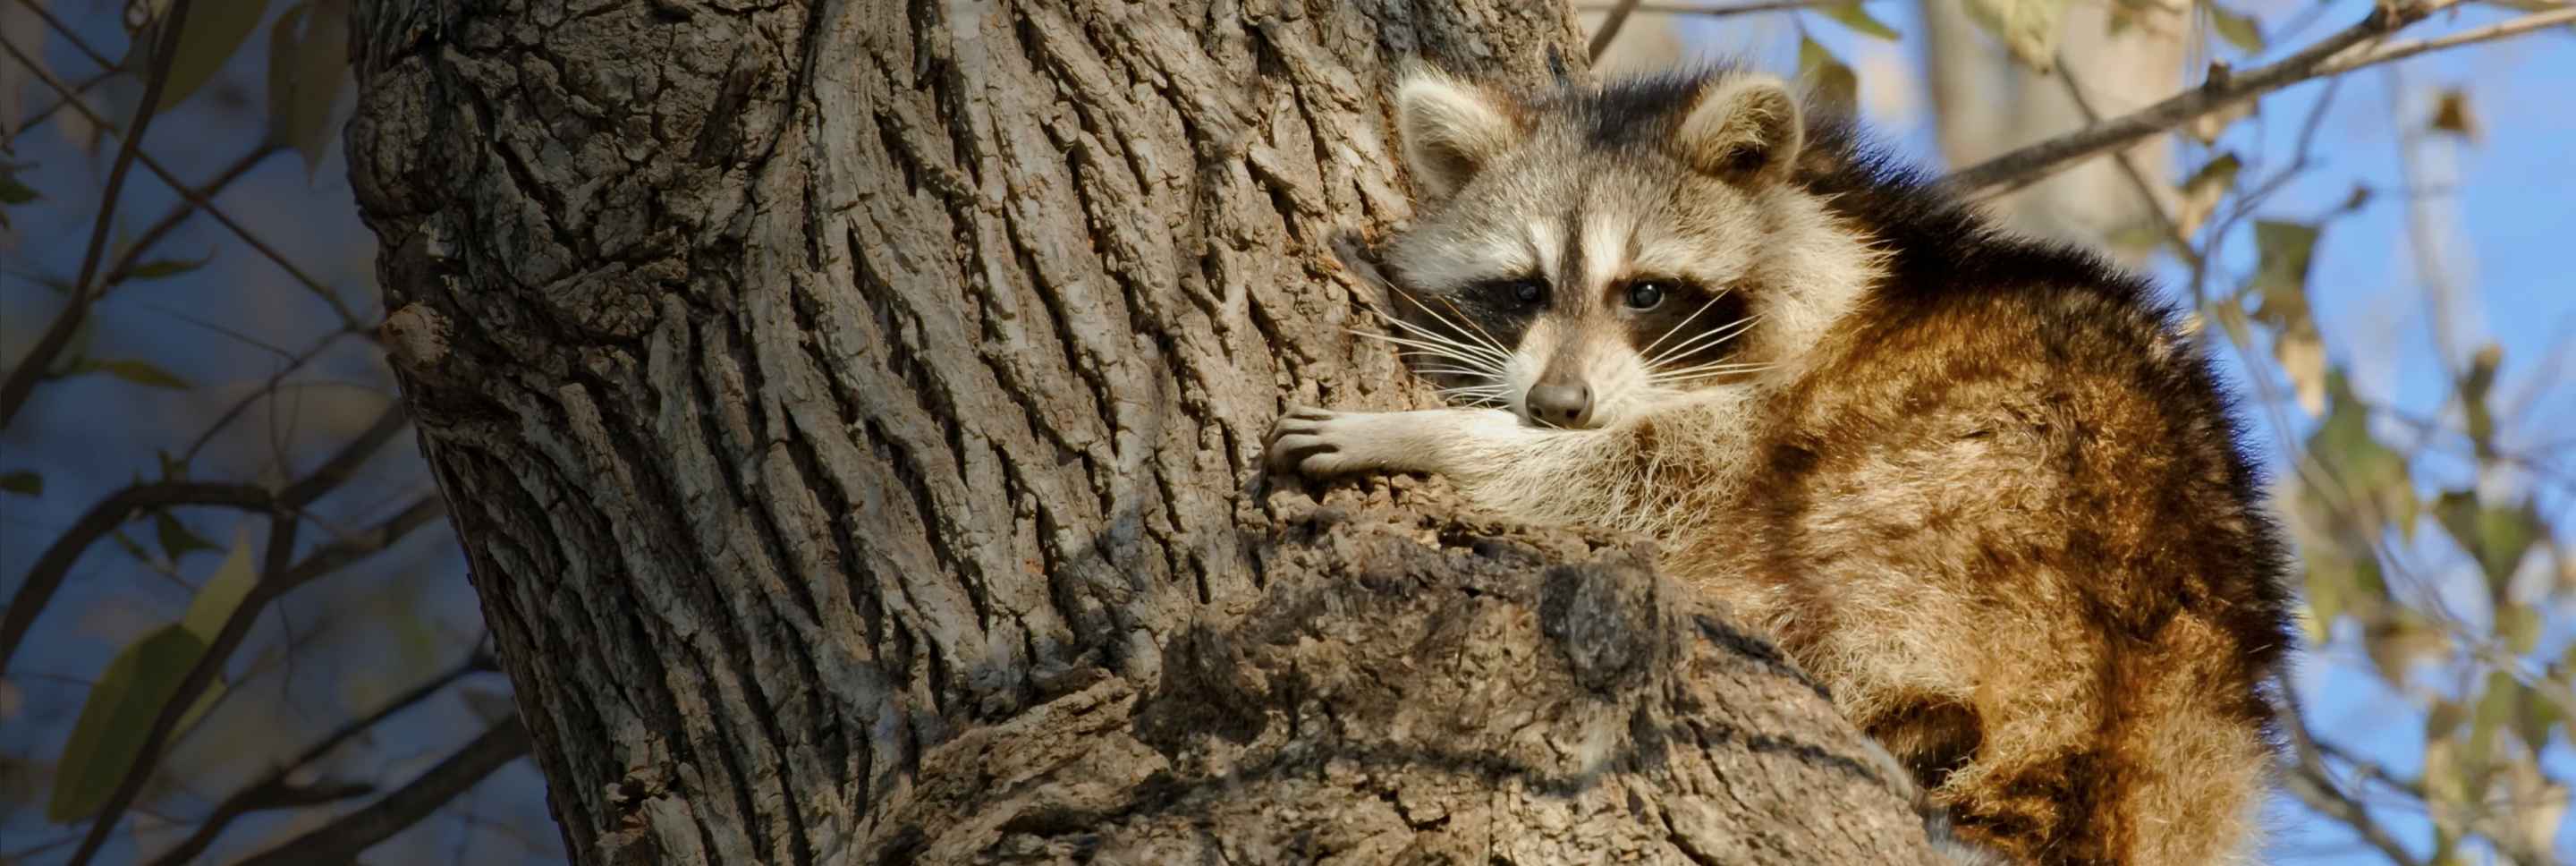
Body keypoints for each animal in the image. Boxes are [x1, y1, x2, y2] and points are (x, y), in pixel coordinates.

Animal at [1268, 67, 2295, 866]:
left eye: (1644, 292)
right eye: (1523, 289)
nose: (1558, 405)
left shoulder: (1805, 387)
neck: (1832, 217)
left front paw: (1433, 432)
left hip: (1965, 502)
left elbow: (1657, 471)